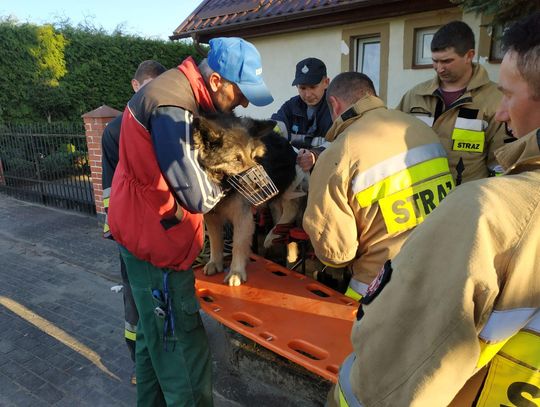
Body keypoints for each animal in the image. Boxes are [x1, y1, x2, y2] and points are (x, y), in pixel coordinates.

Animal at [191, 112, 298, 286]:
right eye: (236, 159)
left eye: (253, 156)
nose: (263, 185)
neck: (223, 186)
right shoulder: (212, 216)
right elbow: (215, 240)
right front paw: (215, 262)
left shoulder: (243, 216)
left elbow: (238, 244)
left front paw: (236, 272)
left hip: (284, 195)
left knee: (290, 213)